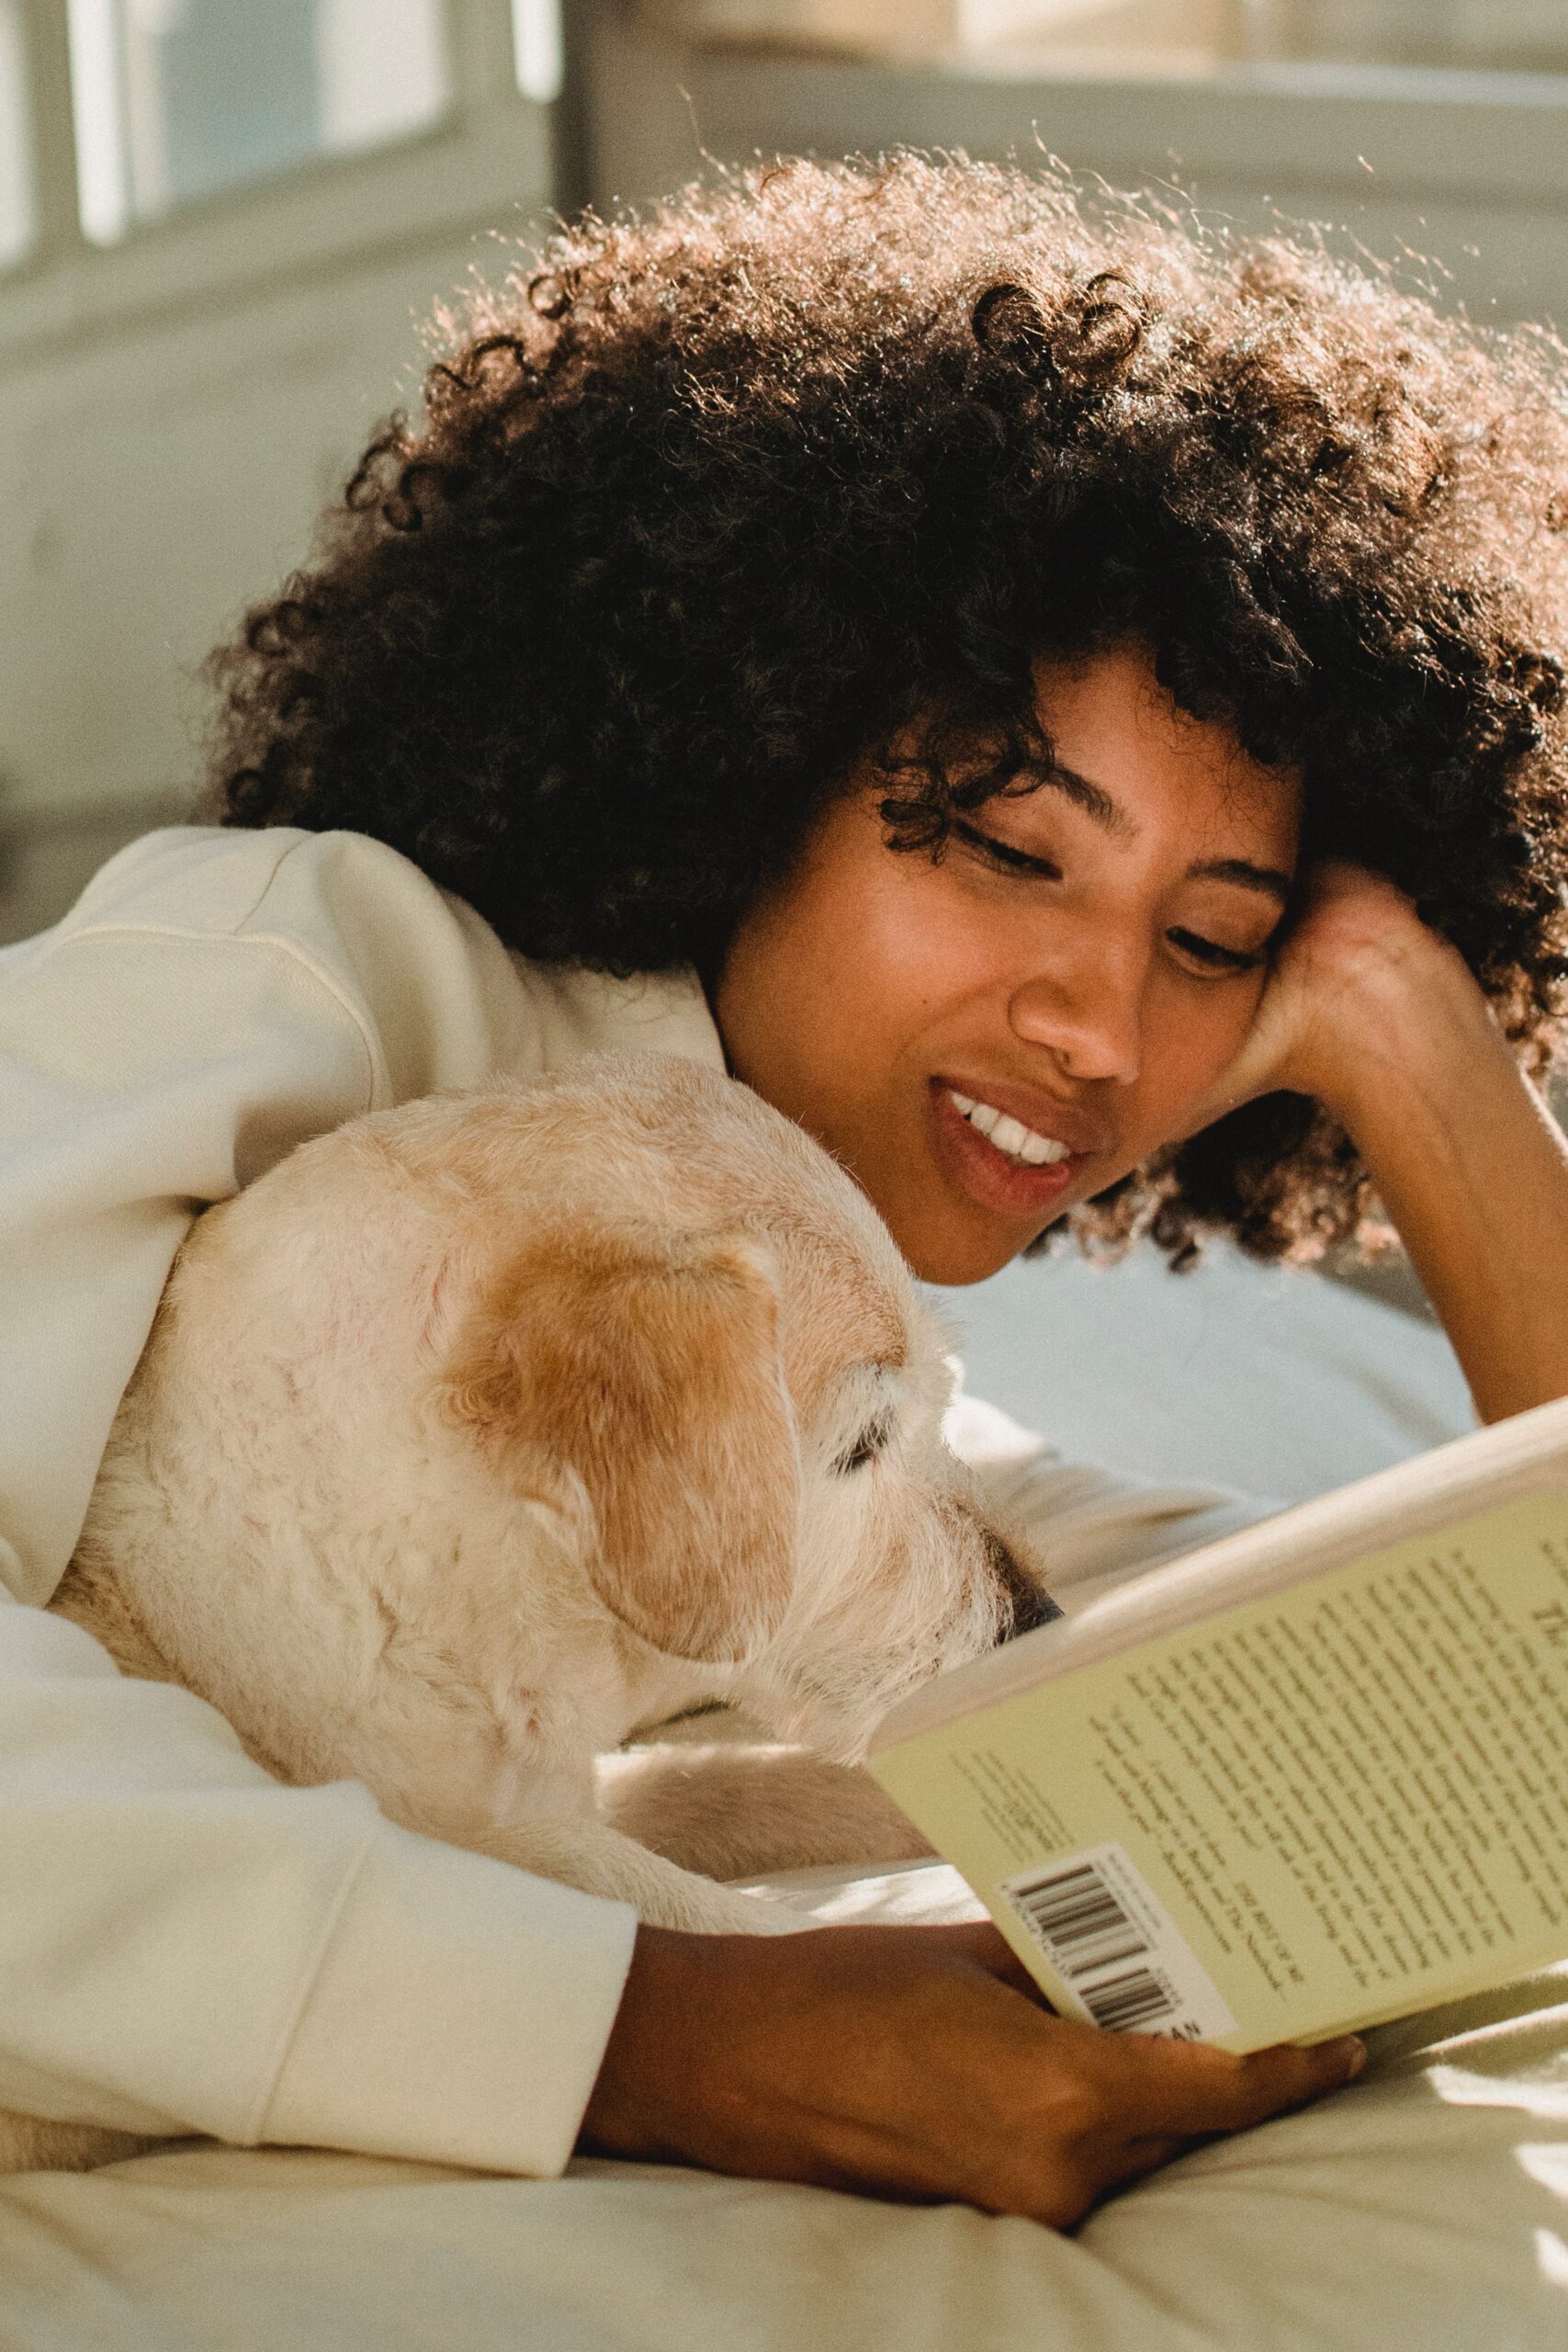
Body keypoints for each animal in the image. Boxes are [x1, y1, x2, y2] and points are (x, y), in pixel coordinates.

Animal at [12, 1058, 1048, 2173]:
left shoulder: (571, 1782)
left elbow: (730, 1780)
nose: (1039, 1614)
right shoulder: (489, 1832)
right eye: (864, 1444)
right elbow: (655, 1890)